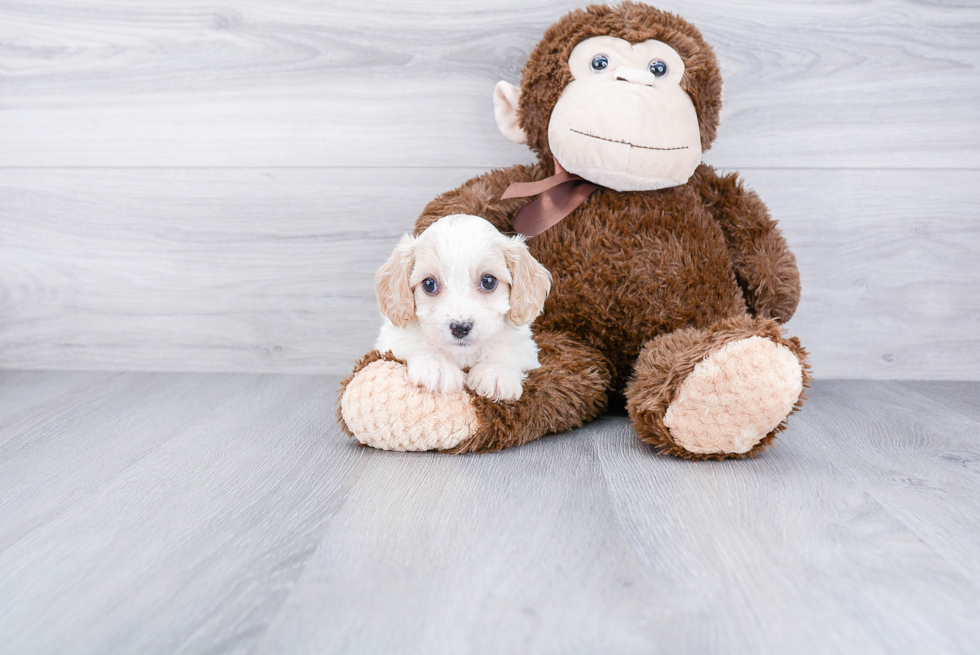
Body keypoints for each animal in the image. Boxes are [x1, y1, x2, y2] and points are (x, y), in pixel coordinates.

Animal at [376, 215, 552, 400]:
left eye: (488, 281)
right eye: (429, 284)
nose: (460, 328)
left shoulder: (526, 347)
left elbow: (508, 350)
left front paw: (495, 371)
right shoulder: (390, 341)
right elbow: (416, 342)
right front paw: (437, 365)